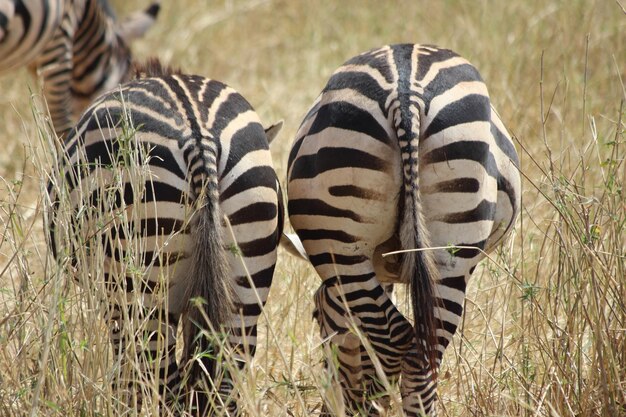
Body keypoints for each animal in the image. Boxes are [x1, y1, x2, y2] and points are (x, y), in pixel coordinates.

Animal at [45, 60, 282, 414]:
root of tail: (200, 136)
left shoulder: (117, 303)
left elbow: (126, 371)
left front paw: (121, 405)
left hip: (144, 281)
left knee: (165, 383)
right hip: (246, 277)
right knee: (223, 384)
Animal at [286, 43, 520, 416]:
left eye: (315, 315)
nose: (327, 410)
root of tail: (405, 93)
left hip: (351, 245)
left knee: (402, 345)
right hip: (445, 250)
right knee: (414, 355)